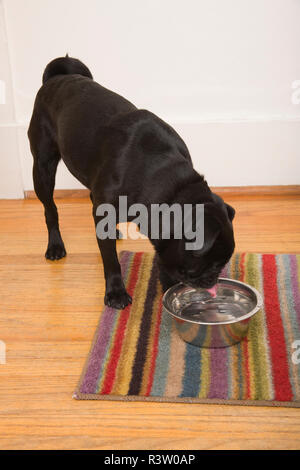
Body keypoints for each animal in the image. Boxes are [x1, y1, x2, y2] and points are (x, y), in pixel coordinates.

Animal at [27, 56, 234, 308]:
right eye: (213, 263)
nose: (214, 280)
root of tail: (56, 78)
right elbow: (111, 261)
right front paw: (116, 292)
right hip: (43, 167)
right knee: (50, 209)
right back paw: (55, 246)